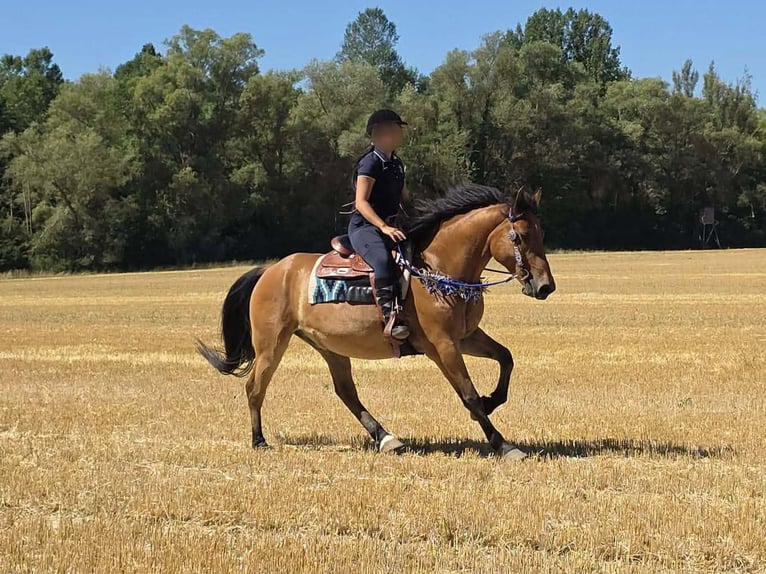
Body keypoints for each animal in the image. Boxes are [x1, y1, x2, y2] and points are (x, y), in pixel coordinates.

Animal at [197, 184, 556, 460]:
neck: (437, 268)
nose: (545, 286)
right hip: (271, 344)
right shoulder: (442, 344)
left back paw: (386, 437)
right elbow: (467, 393)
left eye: (542, 233)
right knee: (255, 386)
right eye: (520, 237)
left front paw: (492, 400)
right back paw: (258, 440)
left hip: (329, 346)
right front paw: (502, 443)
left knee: (346, 392)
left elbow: (506, 358)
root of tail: (270, 270)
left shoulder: (466, 336)